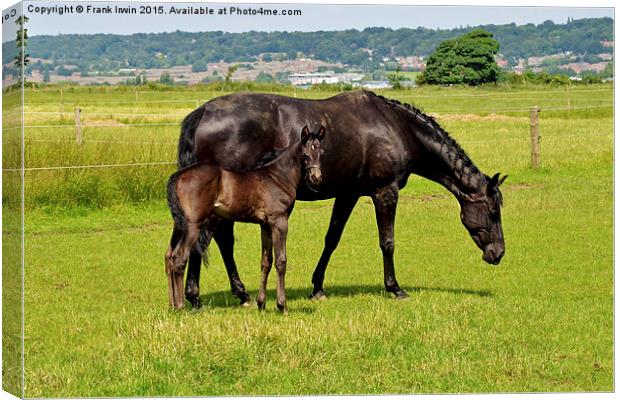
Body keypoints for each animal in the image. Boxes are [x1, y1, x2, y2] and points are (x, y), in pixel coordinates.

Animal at [165, 125, 330, 312]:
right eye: (305, 154)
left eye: (321, 153)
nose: (316, 179)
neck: (277, 176)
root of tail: (178, 176)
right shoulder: (279, 222)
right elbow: (281, 261)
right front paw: (282, 305)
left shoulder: (265, 226)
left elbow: (266, 262)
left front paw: (261, 303)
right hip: (194, 225)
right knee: (179, 258)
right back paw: (180, 306)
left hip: (180, 225)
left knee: (169, 256)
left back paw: (172, 305)